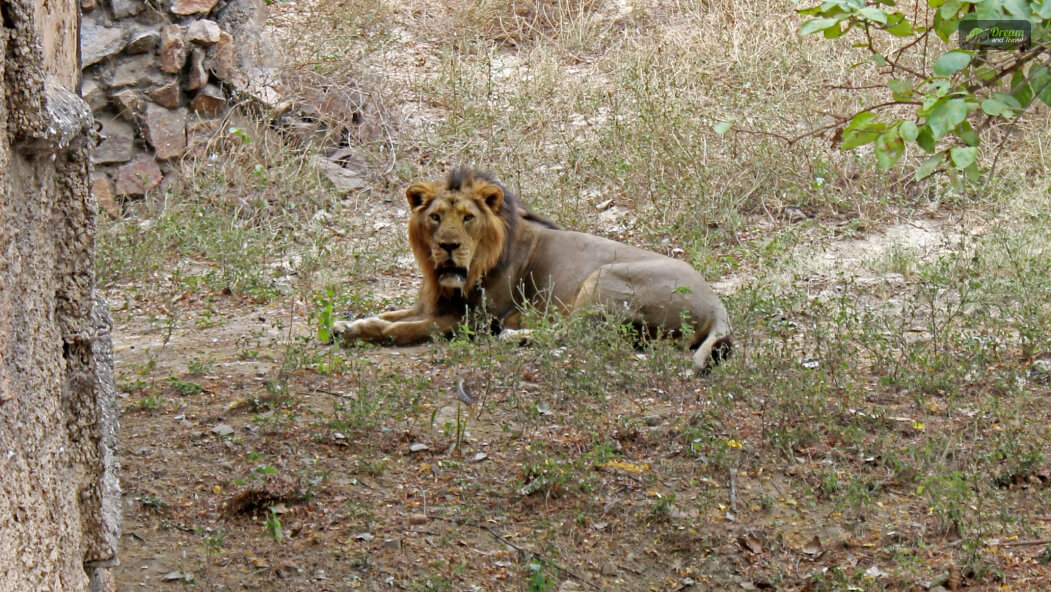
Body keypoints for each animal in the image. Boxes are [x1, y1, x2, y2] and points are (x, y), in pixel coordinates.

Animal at [334, 168, 731, 370]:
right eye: (435, 217)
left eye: (468, 218)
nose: (449, 246)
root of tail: (717, 304)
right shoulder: (433, 302)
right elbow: (390, 314)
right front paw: (349, 326)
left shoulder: (475, 320)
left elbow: (409, 329)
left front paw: (375, 333)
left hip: (605, 277)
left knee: (577, 333)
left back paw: (514, 336)